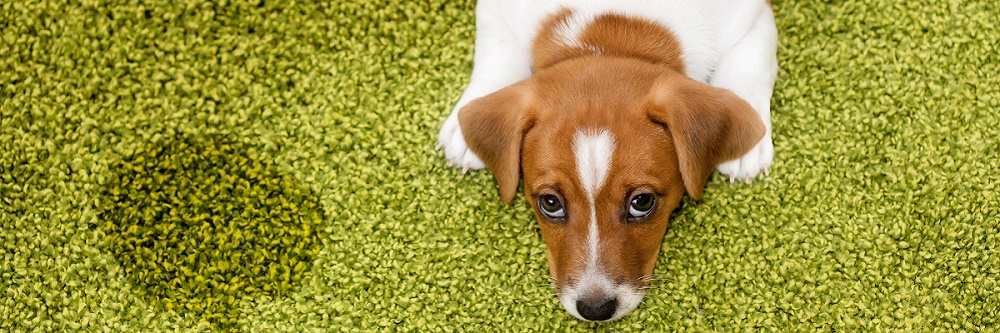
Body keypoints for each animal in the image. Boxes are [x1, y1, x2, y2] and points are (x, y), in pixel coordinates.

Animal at [436, 0, 772, 322]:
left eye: (642, 202)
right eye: (550, 203)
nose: (595, 310)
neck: (610, 33)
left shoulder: (754, 17)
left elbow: (751, 67)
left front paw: (749, 141)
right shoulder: (494, 10)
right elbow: (495, 53)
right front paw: (464, 129)